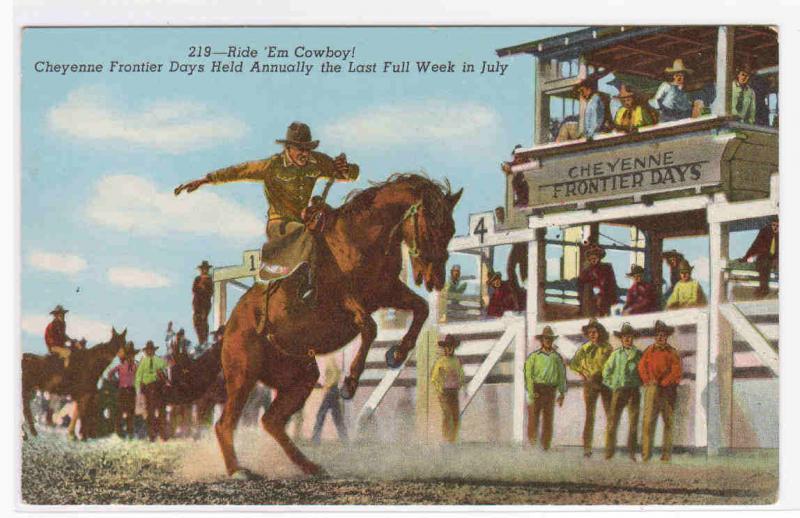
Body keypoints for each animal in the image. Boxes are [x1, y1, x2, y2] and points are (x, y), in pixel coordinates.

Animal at [212, 174, 462, 480]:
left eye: (450, 229)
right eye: (430, 226)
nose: (436, 278)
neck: (363, 238)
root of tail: (232, 324)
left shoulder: (387, 291)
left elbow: (421, 308)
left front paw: (397, 354)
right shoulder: (345, 299)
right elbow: (370, 327)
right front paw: (350, 382)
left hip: (301, 377)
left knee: (271, 421)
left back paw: (310, 466)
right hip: (243, 375)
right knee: (225, 423)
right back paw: (238, 470)